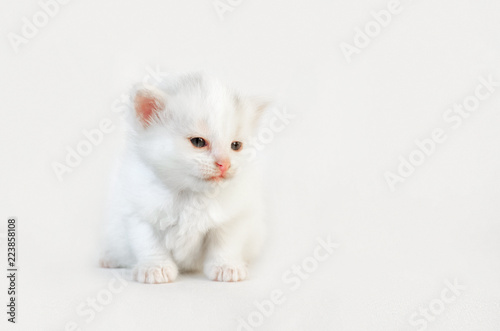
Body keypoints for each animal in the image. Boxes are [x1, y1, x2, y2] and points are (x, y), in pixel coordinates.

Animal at [99, 74, 268, 284]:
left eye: (236, 145)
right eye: (198, 142)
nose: (225, 164)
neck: (191, 194)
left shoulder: (234, 216)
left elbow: (225, 242)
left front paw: (226, 266)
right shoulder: (137, 212)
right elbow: (148, 242)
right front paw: (155, 267)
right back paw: (110, 259)